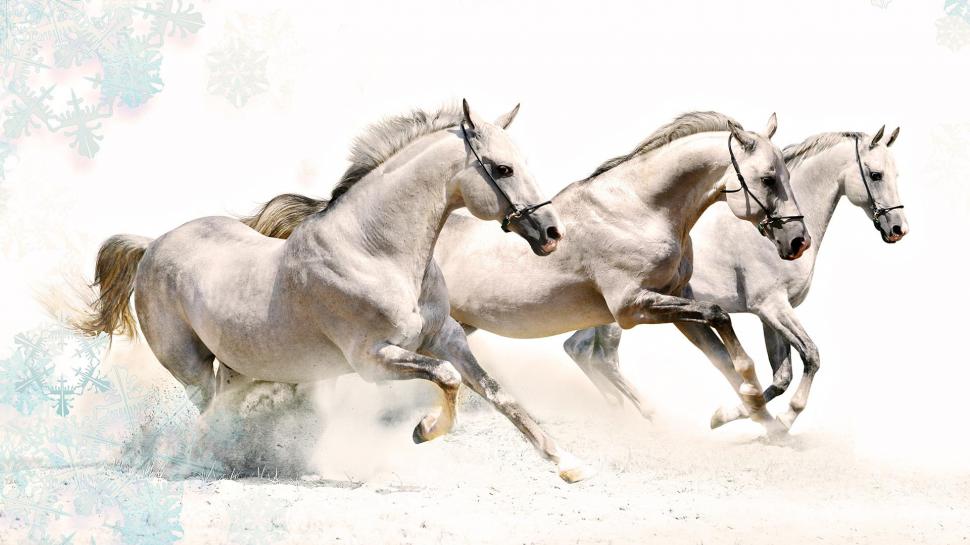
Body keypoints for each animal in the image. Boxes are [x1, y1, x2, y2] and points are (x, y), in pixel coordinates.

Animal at [77, 100, 596, 483]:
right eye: (502, 169)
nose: (551, 233)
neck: (375, 251)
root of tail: (152, 244)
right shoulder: (373, 360)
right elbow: (448, 379)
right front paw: (424, 431)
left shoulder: (446, 337)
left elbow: (497, 394)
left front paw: (569, 465)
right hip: (191, 367)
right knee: (210, 413)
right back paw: (210, 461)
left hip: (241, 367)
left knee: (224, 409)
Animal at [564, 126, 907, 431]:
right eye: (876, 174)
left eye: (896, 175)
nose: (898, 229)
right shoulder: (772, 307)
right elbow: (811, 356)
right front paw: (778, 419)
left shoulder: (771, 314)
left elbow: (781, 376)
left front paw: (734, 415)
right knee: (602, 357)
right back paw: (646, 414)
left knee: (578, 348)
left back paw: (619, 410)